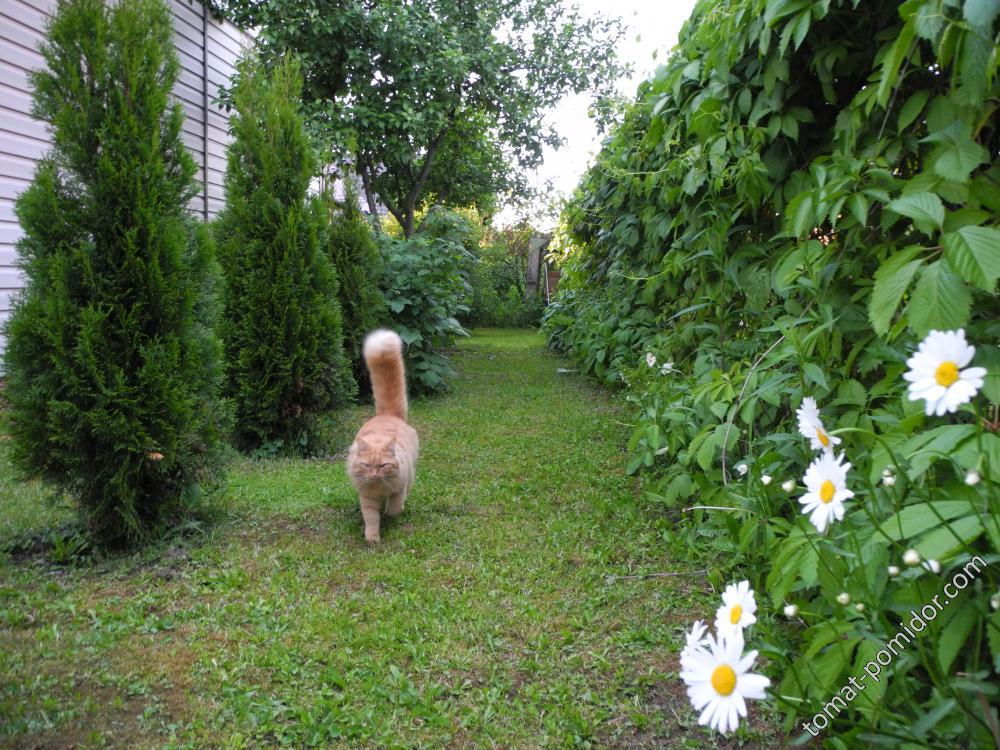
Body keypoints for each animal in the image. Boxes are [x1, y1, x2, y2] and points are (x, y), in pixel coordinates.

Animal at [348, 332, 418, 544]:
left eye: (382, 465)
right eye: (366, 466)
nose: (373, 475)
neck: (379, 488)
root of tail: (387, 414)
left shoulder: (398, 489)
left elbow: (396, 507)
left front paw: (389, 514)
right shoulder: (367, 499)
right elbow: (371, 518)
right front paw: (372, 537)